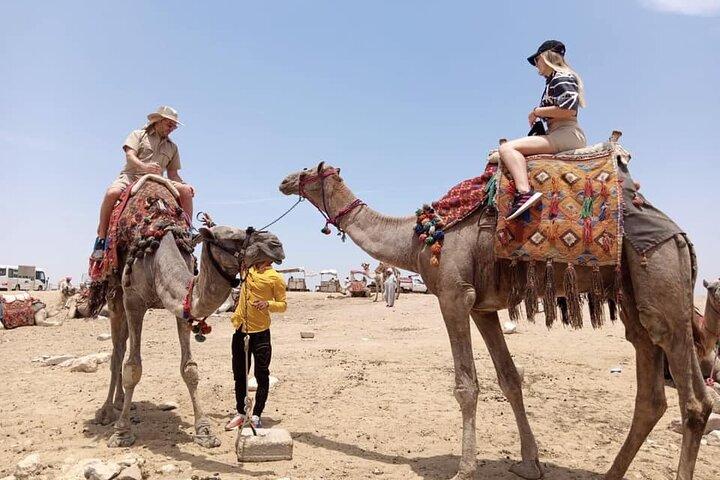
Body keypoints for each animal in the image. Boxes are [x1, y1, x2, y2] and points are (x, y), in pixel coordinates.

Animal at [90, 222, 284, 449]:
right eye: (234, 238)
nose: (276, 244)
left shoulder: (182, 308)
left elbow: (189, 369)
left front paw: (205, 432)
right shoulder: (133, 301)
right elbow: (133, 367)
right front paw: (122, 432)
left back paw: (121, 401)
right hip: (116, 298)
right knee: (118, 352)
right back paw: (106, 411)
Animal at [279, 162, 711, 480]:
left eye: (308, 170)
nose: (284, 180)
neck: (418, 237)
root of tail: (683, 237)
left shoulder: (455, 296)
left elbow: (466, 386)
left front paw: (465, 468)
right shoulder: (482, 308)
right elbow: (510, 379)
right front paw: (530, 463)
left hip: (661, 282)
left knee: (693, 402)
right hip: (637, 302)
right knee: (651, 392)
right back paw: (610, 474)